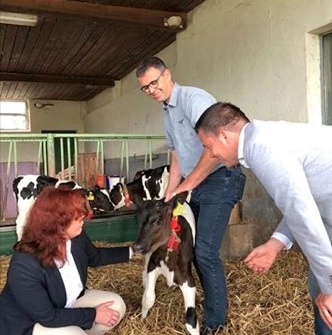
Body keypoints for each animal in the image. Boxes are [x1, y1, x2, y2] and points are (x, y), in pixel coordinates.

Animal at [132, 193, 200, 334]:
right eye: (137, 219)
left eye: (158, 220)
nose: (137, 247)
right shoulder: (152, 265)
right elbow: (148, 298)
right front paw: (142, 319)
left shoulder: (187, 277)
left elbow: (191, 319)